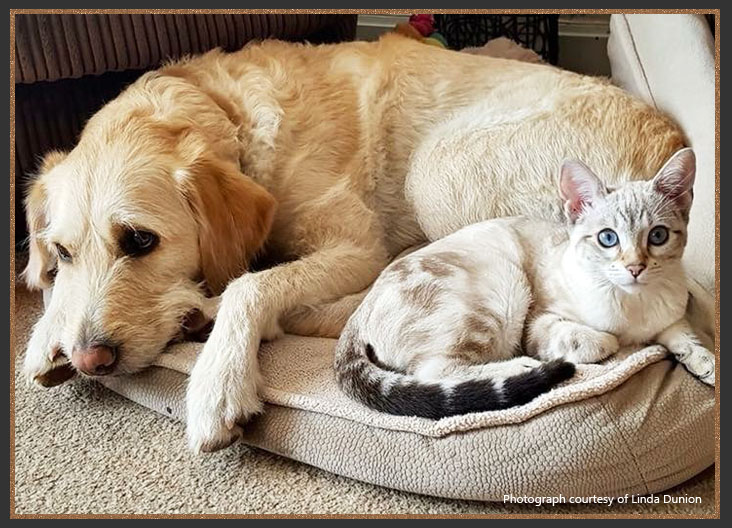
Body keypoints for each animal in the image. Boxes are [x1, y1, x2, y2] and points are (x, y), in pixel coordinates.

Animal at [336, 146, 716, 418]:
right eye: (608, 239)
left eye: (658, 236)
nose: (636, 267)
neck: (634, 306)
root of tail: (358, 313)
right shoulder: (539, 322)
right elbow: (602, 341)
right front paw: (614, 342)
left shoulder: (671, 316)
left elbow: (684, 337)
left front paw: (705, 362)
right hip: (503, 286)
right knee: (434, 371)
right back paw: (521, 367)